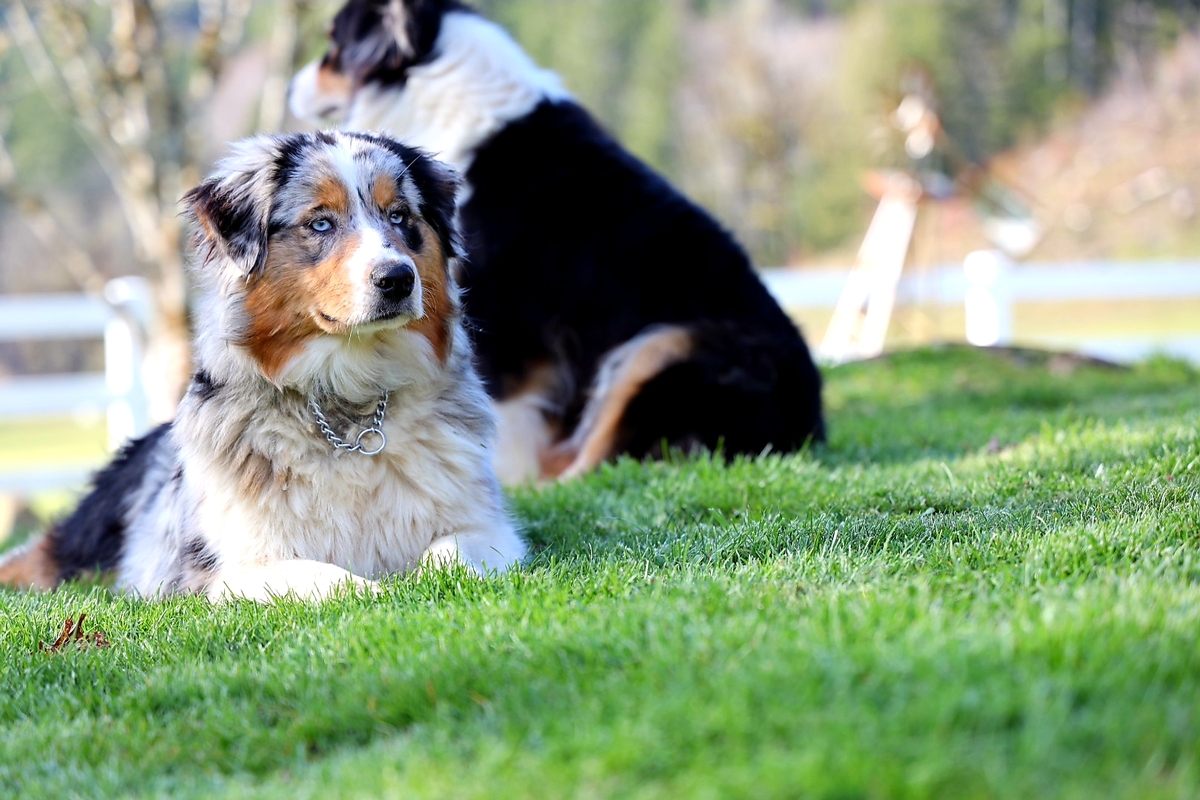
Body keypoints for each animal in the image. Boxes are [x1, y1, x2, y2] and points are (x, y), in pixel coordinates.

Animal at [0, 131, 525, 604]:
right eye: (320, 224)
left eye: (400, 216)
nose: (397, 279)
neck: (348, 400)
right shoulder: (221, 571)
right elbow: (325, 577)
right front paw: (378, 591)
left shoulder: (491, 529)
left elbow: (450, 553)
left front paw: (421, 580)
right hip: (82, 544)